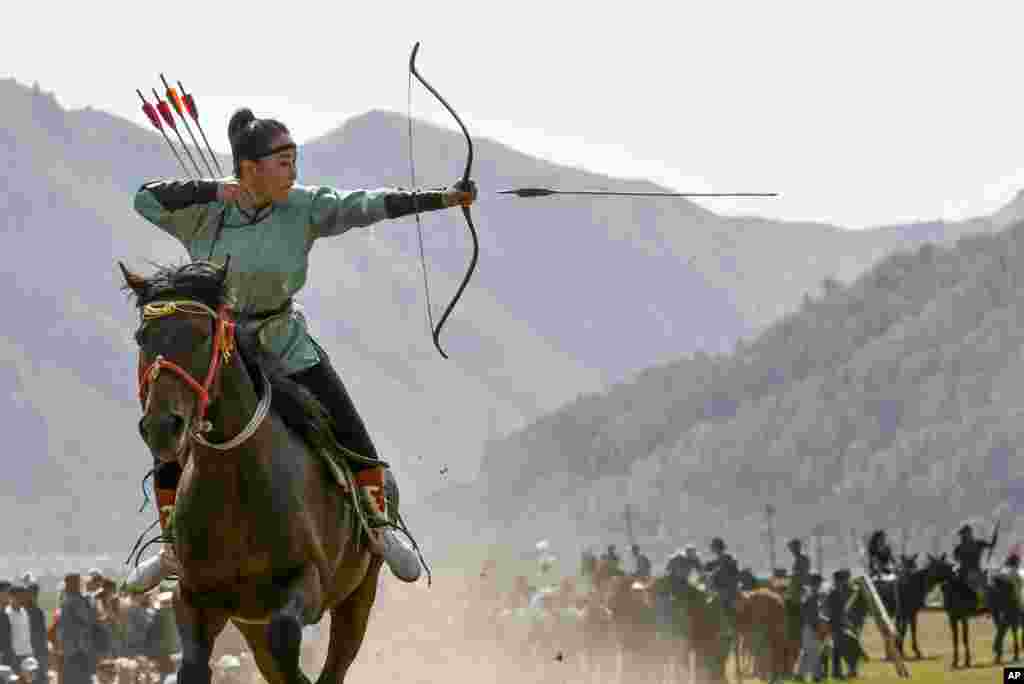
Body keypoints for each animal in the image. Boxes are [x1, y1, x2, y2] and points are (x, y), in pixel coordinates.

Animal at [121, 260, 385, 684]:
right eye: (142, 337)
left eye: (201, 335)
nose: (162, 426)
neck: (237, 481)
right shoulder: (196, 597)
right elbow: (193, 665)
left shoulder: (308, 581)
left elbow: (286, 639)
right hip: (249, 621)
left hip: (359, 592)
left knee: (334, 662)